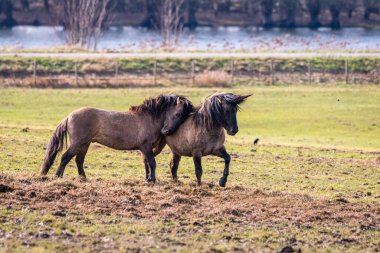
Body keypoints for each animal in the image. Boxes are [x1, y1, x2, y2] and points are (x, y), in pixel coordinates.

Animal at [40, 94, 193, 182]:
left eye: (184, 116)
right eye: (178, 113)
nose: (167, 131)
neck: (149, 118)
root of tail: (69, 116)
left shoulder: (146, 149)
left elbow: (146, 163)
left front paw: (147, 178)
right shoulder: (146, 147)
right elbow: (152, 162)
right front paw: (152, 179)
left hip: (85, 144)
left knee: (79, 160)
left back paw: (83, 178)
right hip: (78, 143)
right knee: (65, 157)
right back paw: (58, 177)